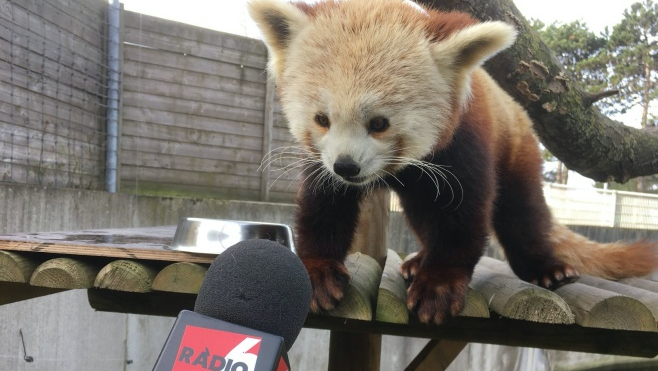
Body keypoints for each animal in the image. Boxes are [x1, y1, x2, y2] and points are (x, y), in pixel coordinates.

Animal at [249, 0, 656, 324]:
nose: (346, 167)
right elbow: (323, 205)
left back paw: (546, 269)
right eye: (322, 119)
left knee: (522, 214)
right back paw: (418, 259)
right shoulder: (322, 160)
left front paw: (438, 285)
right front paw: (318, 272)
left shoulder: (463, 147)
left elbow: (461, 219)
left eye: (379, 123)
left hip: (517, 149)